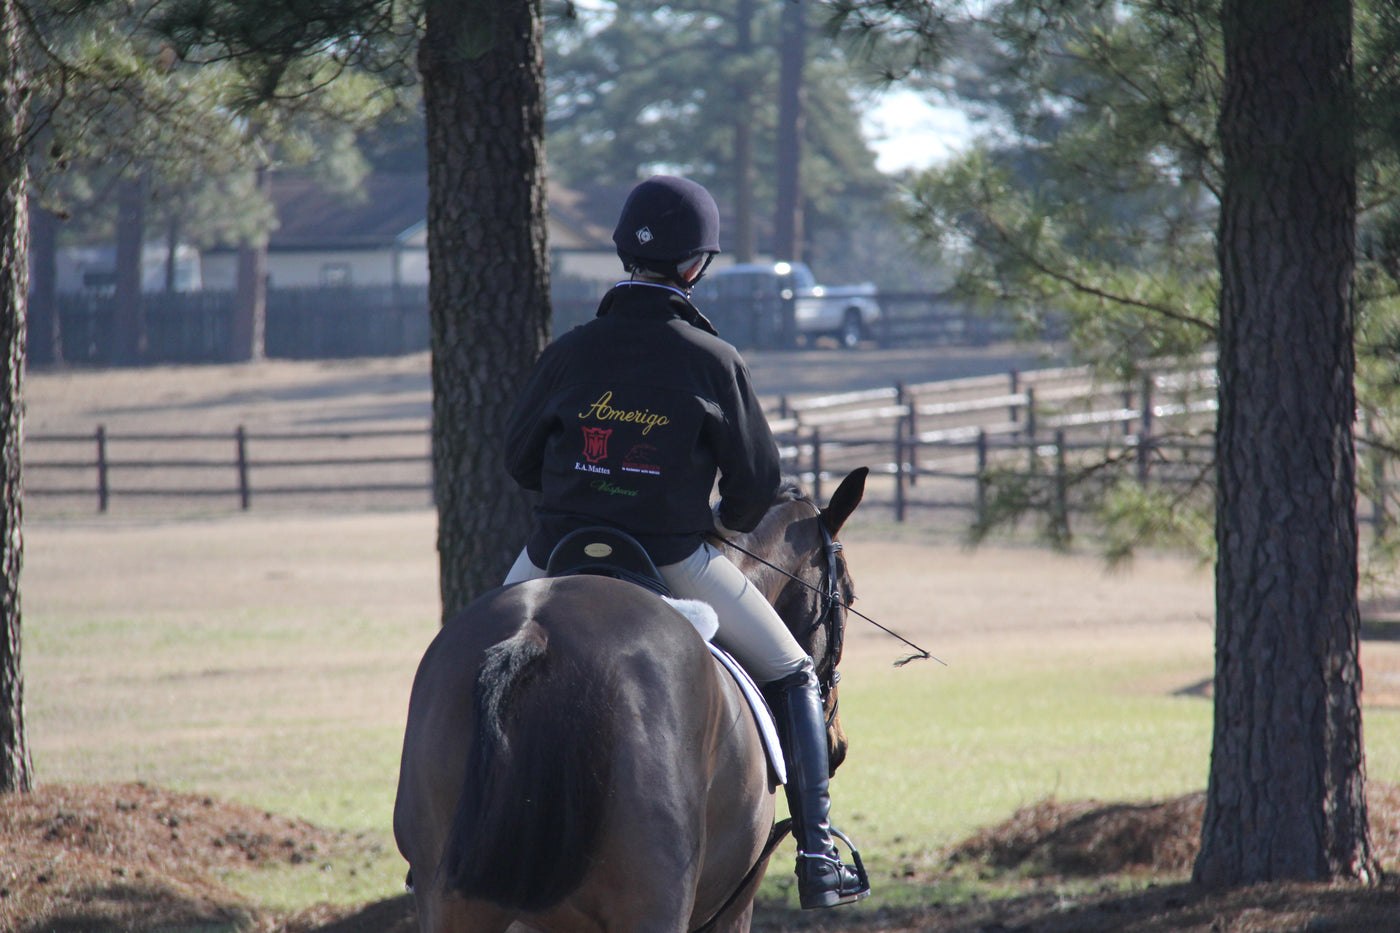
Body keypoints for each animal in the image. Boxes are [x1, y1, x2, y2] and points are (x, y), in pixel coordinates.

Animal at [392, 465, 862, 930]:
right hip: (652, 895)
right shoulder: (735, 903)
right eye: (848, 595)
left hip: (452, 898)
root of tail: (533, 633)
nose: (838, 746)